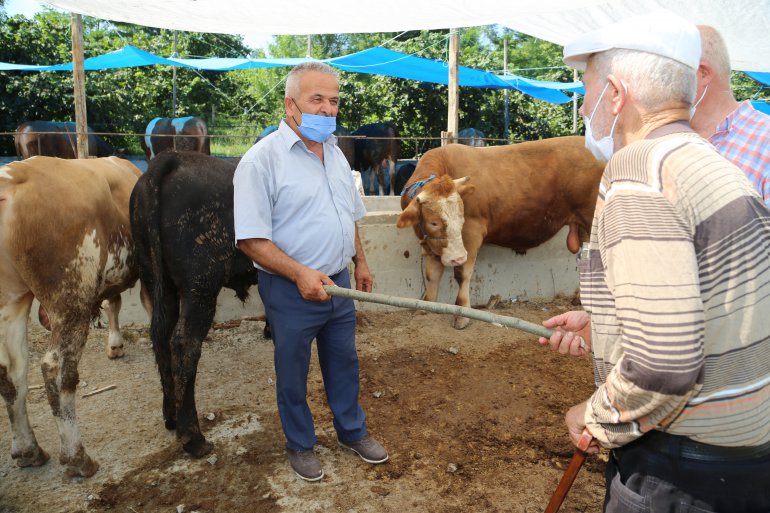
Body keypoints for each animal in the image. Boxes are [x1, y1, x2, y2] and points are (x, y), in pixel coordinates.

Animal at [0, 156, 141, 476]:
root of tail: (11, 180)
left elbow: (113, 302)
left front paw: (114, 345)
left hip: (11, 302)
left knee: (12, 371)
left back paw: (28, 451)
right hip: (70, 297)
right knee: (57, 369)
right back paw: (76, 456)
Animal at [129, 151, 264, 456]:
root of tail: (170, 160)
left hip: (157, 281)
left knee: (161, 335)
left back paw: (171, 416)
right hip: (200, 287)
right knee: (184, 344)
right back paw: (193, 437)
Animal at [396, 136, 608, 328]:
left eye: (462, 218)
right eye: (433, 223)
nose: (457, 257)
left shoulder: (472, 232)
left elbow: (462, 274)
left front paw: (462, 314)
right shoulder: (433, 244)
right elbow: (432, 274)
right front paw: (425, 309)